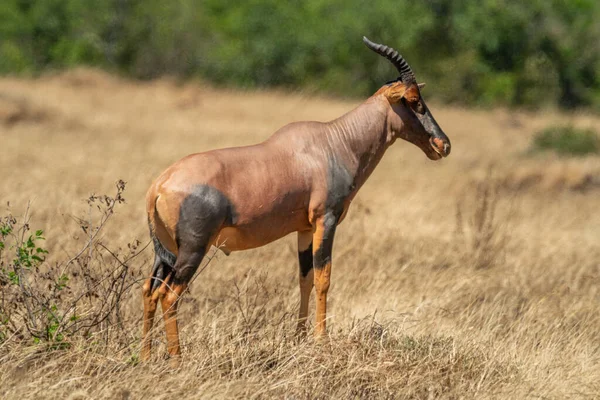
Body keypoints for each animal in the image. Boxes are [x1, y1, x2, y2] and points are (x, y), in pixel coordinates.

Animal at [142, 36, 450, 364]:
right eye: (414, 100)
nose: (443, 144)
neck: (333, 141)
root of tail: (159, 185)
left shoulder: (304, 228)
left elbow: (305, 278)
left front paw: (300, 337)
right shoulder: (326, 219)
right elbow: (324, 277)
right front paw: (322, 340)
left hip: (167, 251)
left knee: (150, 289)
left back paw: (146, 355)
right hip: (193, 248)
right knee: (169, 294)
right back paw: (177, 357)